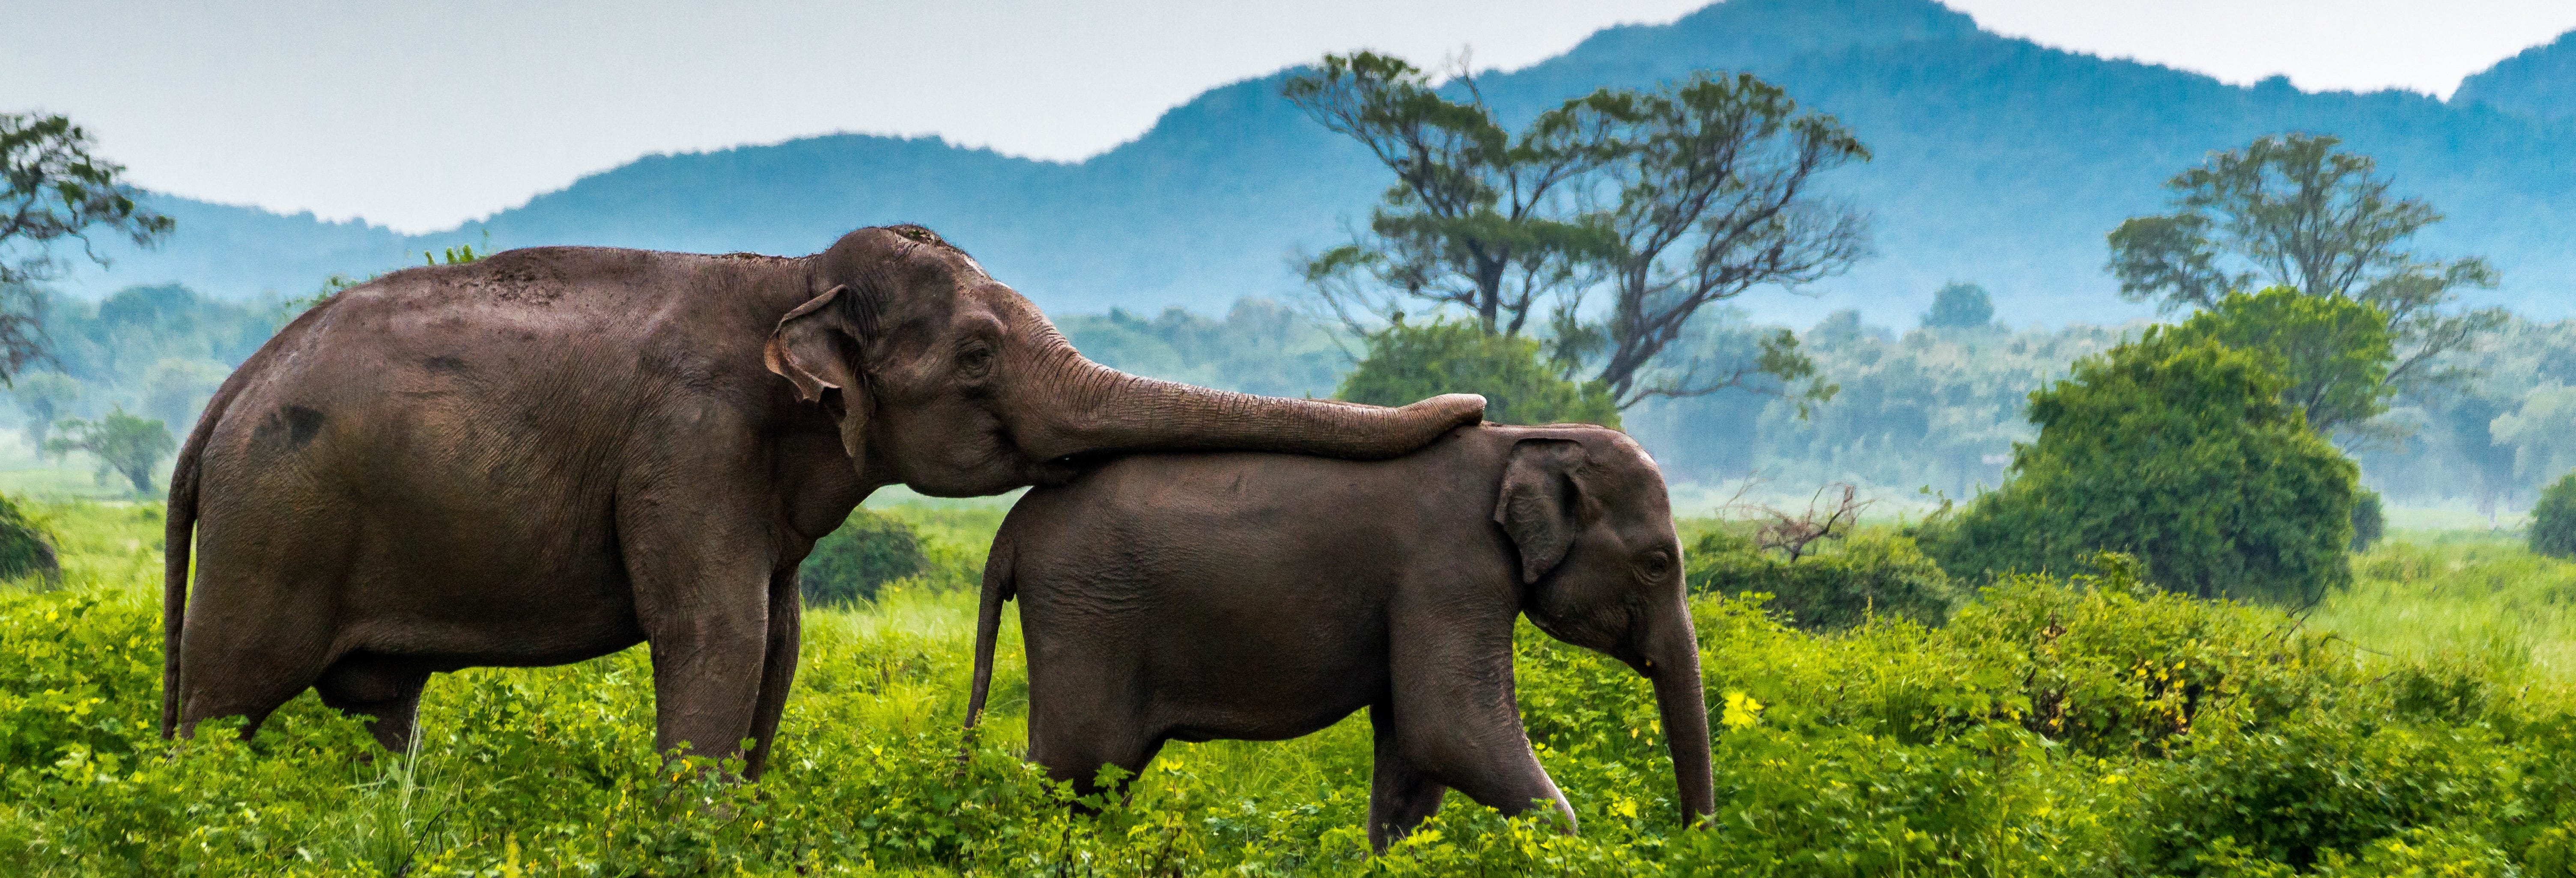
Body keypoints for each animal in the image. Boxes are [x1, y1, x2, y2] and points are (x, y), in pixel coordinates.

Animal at [161, 224, 1484, 772]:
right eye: (976, 356)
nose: (1474, 408)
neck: (792, 273)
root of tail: (223, 401)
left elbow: (780, 646)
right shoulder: (688, 444)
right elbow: (718, 636)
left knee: (381, 712)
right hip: (277, 523)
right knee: (226, 699)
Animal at [963, 425, 1710, 849]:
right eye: (1657, 564)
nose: (1693, 840)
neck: (1522, 440)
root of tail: (1011, 528)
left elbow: (1414, 752)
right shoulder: (1452, 565)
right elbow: (1449, 727)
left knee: (1094, 782)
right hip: (1087, 612)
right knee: (1071, 770)